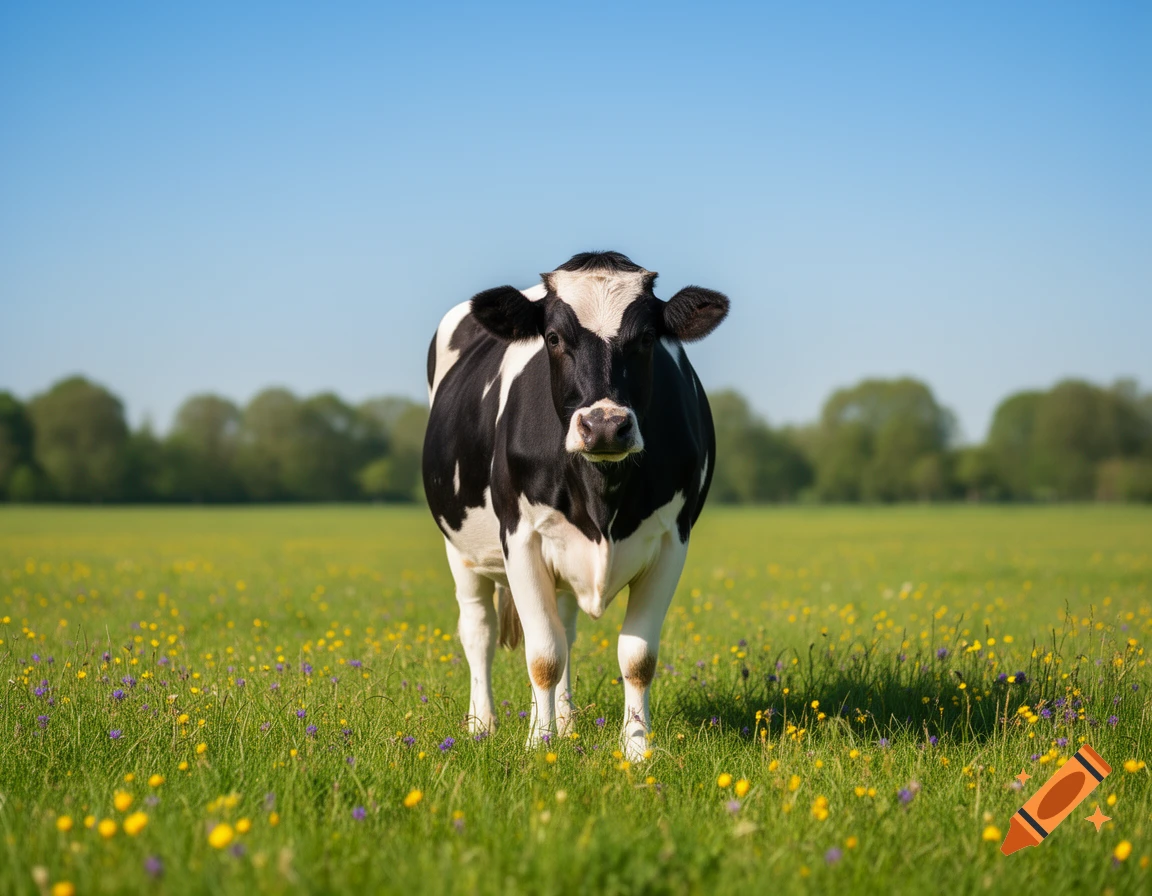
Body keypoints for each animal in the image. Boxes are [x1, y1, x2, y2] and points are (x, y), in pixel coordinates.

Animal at [422, 251, 728, 760]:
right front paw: (537, 745)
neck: (601, 493)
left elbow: (636, 657)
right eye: (553, 338)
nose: (604, 425)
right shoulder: (520, 538)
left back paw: (564, 724)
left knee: (563, 627)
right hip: (459, 549)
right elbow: (542, 655)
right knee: (479, 631)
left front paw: (635, 750)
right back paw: (482, 725)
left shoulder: (672, 540)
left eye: (647, 338)